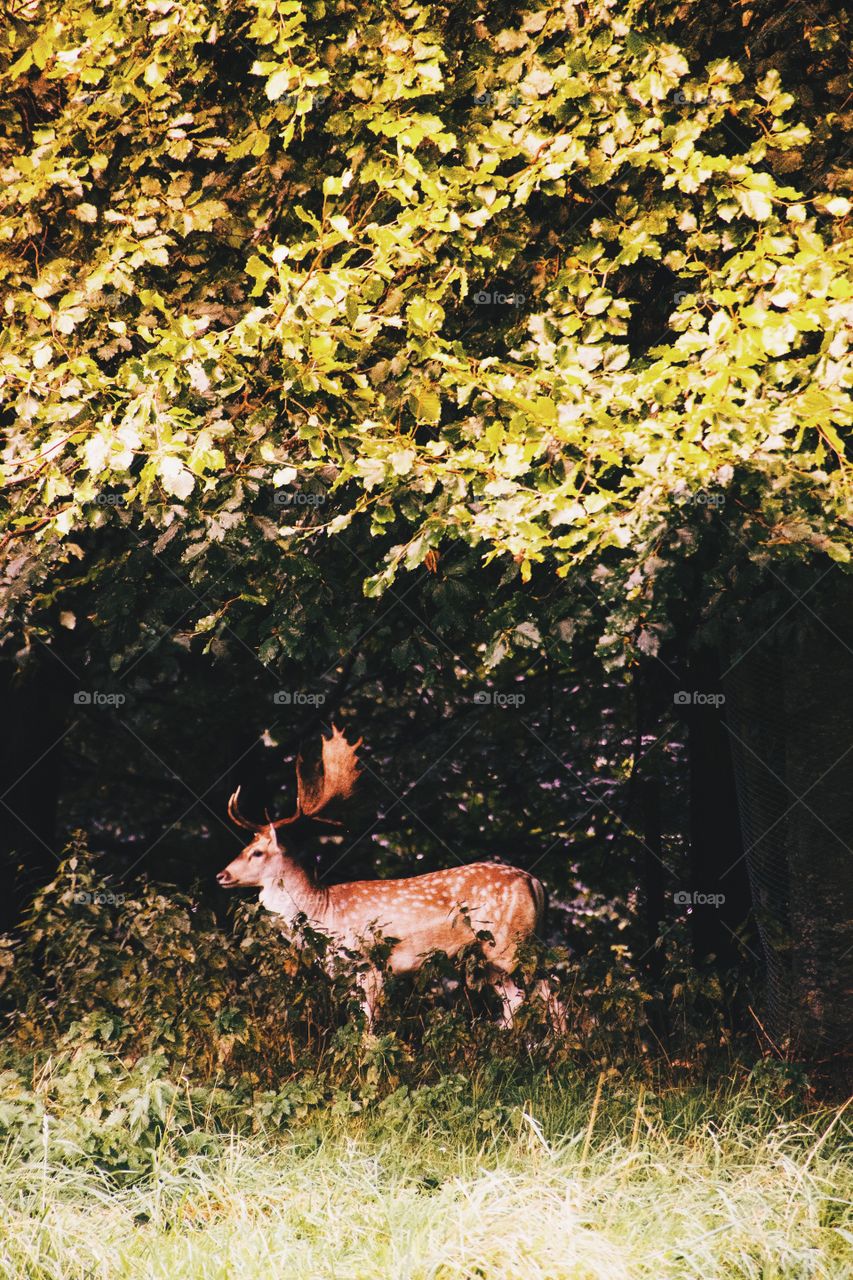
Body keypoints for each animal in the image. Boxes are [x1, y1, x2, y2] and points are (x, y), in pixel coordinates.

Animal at [217, 725, 546, 1027]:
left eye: (257, 852)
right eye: (245, 847)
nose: (221, 874)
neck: (323, 911)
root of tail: (534, 882)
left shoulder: (367, 960)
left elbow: (368, 1025)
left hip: (509, 942)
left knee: (545, 991)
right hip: (496, 954)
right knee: (516, 1002)